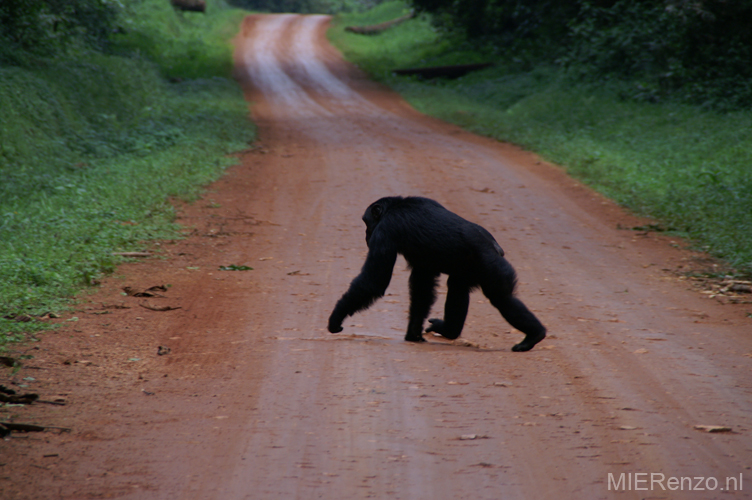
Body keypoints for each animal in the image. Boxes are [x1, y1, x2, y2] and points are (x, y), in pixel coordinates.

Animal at [328, 195, 548, 352]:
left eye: (366, 222)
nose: (366, 234)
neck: (395, 206)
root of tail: (496, 247)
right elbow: (422, 286)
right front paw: (414, 334)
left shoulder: (386, 231)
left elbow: (374, 281)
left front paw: (336, 318)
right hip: (469, 271)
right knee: (458, 289)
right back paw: (450, 330)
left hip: (492, 268)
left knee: (503, 299)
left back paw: (533, 336)